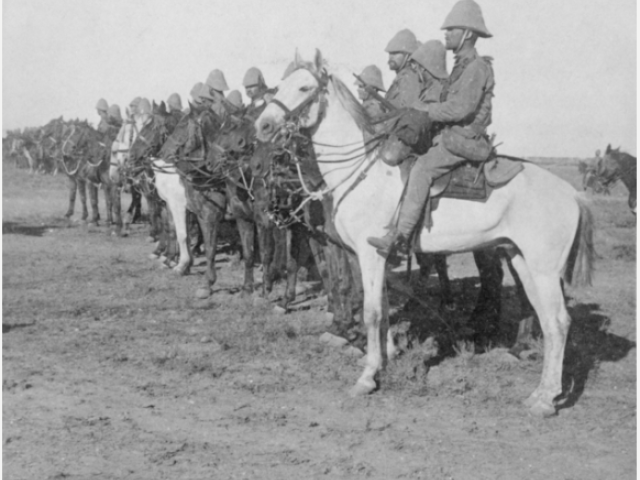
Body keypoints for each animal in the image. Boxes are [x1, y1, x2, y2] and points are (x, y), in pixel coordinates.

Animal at [255, 49, 596, 416]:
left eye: (304, 87)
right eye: (279, 86)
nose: (263, 126)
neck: (362, 171)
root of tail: (572, 194)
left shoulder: (370, 254)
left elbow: (372, 312)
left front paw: (367, 377)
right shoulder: (377, 257)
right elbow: (383, 307)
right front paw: (385, 359)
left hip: (543, 269)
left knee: (558, 322)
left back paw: (546, 399)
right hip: (521, 260)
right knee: (547, 320)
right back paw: (539, 392)